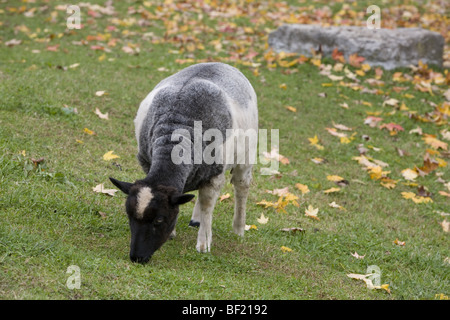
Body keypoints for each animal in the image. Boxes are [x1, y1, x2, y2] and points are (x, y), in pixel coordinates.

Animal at [108, 62, 256, 262]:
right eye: (129, 215)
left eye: (159, 219)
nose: (137, 258)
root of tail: (220, 63)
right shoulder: (148, 163)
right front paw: (175, 233)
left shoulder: (214, 174)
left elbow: (208, 204)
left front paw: (203, 244)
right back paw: (196, 220)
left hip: (246, 156)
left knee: (241, 187)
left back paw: (238, 229)